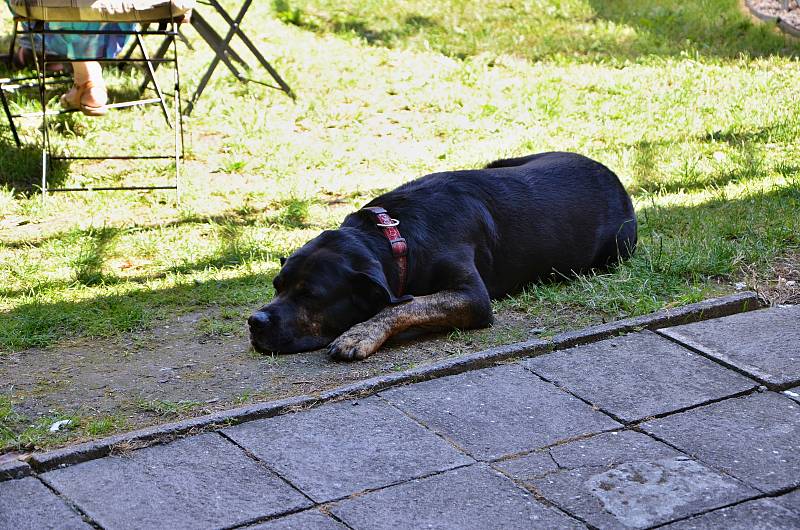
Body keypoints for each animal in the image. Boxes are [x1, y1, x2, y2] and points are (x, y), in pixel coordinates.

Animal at [248, 153, 636, 358]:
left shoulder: (472, 296)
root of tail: (613, 176)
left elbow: (404, 305)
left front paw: (360, 334)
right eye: (276, 285)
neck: (394, 234)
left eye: (310, 295)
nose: (255, 321)